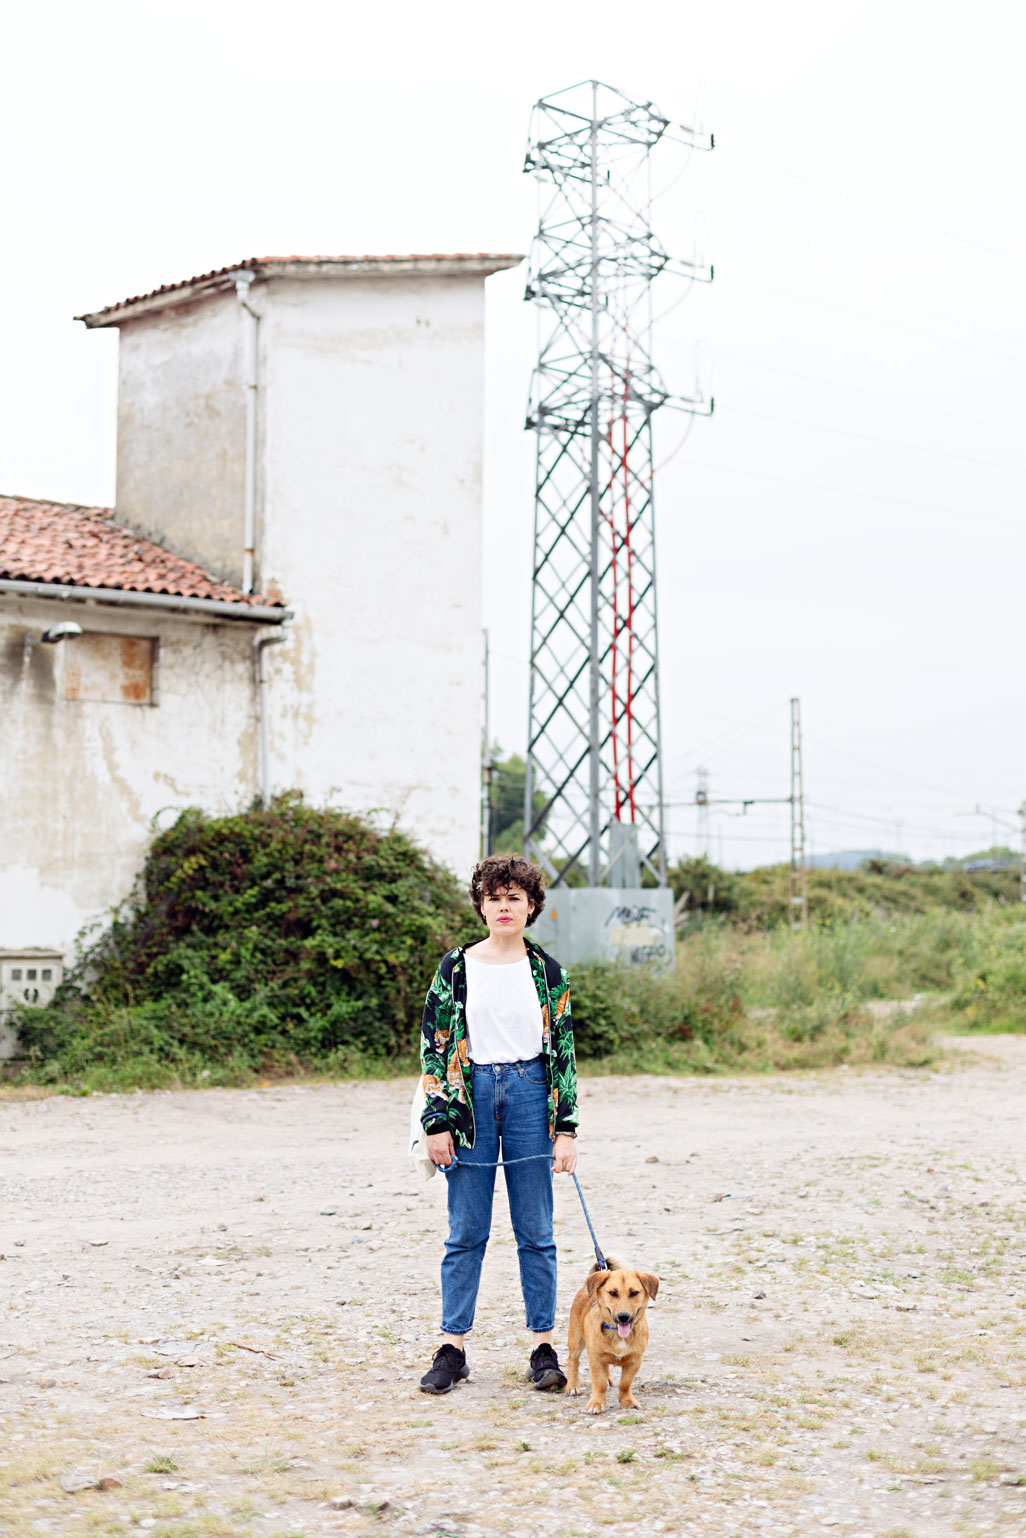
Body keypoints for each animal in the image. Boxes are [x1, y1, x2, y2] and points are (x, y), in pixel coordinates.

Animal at [566, 1255, 661, 1408]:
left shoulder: (635, 1360)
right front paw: (596, 1403)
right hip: (576, 1340)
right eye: (612, 1293)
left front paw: (627, 1400)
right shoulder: (596, 1358)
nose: (623, 1317)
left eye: (634, 1293)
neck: (617, 1335)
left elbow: (625, 1383)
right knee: (572, 1360)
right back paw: (573, 1386)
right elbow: (599, 1384)